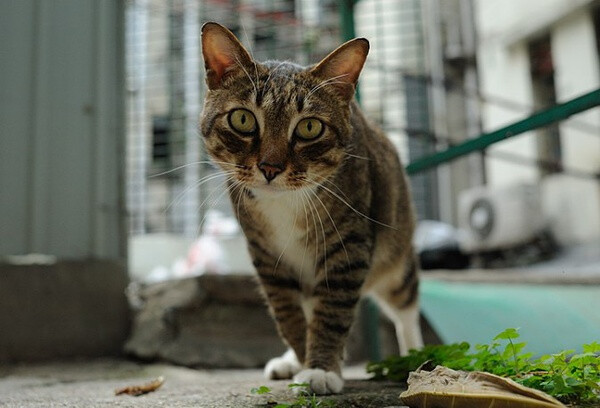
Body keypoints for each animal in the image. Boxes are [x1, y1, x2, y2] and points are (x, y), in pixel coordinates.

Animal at [200, 23, 422, 396]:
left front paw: (320, 370)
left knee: (405, 305)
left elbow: (331, 312)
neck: (284, 203)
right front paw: (304, 359)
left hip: (395, 255)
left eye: (309, 127)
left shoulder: (348, 246)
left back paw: (415, 355)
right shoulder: (266, 254)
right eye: (242, 119)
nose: (270, 167)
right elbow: (288, 314)